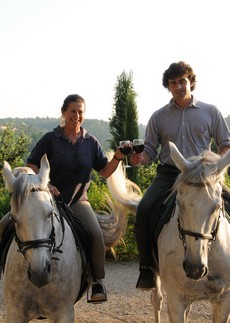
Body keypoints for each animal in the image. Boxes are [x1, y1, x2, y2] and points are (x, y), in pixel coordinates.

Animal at [107, 143, 230, 322]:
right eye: (179, 202)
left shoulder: (224, 301)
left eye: (216, 206)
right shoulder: (175, 301)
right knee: (156, 300)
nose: (194, 268)